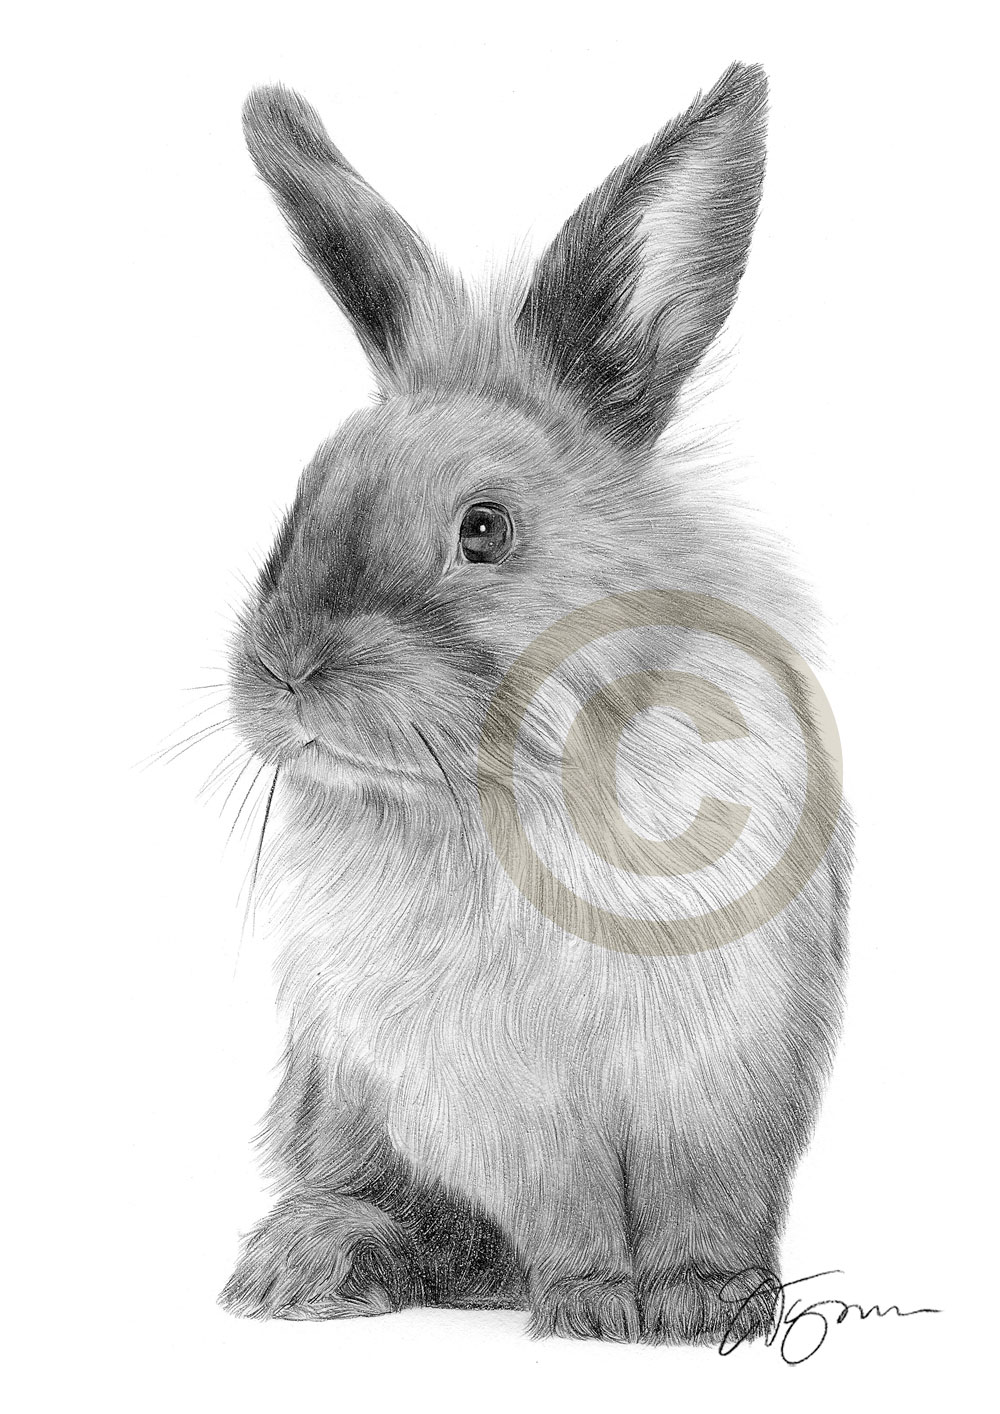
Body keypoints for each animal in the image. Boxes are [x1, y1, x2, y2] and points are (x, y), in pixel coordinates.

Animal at [218, 61, 851, 1345]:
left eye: (483, 529)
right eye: (298, 511)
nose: (291, 672)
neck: (538, 771)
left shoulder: (726, 1075)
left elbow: (707, 1196)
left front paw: (710, 1305)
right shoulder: (500, 1101)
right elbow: (568, 1206)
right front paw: (597, 1307)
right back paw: (311, 1264)